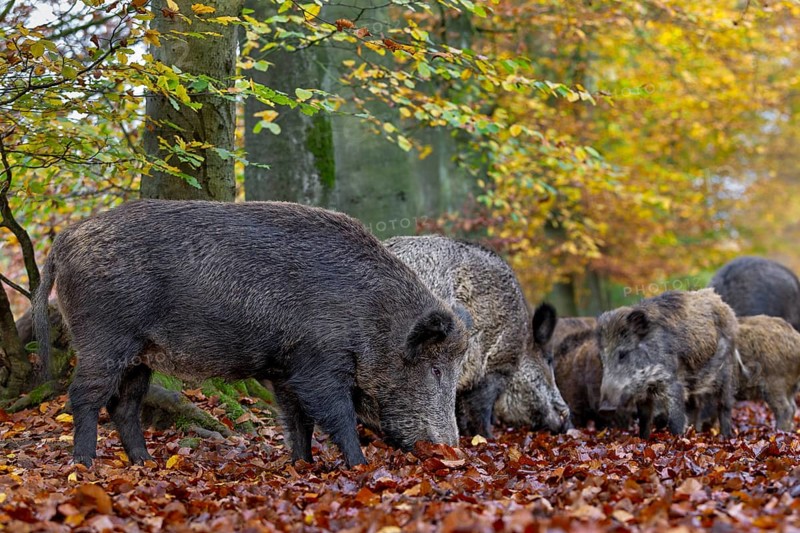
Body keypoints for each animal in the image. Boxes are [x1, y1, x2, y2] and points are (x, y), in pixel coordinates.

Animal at [34, 200, 469, 467]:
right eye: (435, 371)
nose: (452, 449)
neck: (373, 316)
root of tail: (63, 242)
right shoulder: (319, 363)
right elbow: (337, 415)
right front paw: (358, 466)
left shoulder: (287, 371)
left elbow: (298, 420)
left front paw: (302, 464)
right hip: (103, 339)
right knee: (84, 397)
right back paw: (84, 464)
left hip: (141, 355)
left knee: (124, 405)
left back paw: (144, 462)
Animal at [384, 235, 570, 437]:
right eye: (549, 360)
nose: (568, 421)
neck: (523, 348)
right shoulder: (494, 366)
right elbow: (480, 409)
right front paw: (488, 437)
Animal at [596, 289, 738, 439]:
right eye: (602, 358)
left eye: (623, 354)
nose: (604, 408)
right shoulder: (643, 393)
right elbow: (644, 419)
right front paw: (644, 439)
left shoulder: (673, 382)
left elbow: (676, 419)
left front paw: (678, 439)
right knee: (696, 405)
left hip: (727, 370)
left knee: (724, 405)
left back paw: (726, 436)